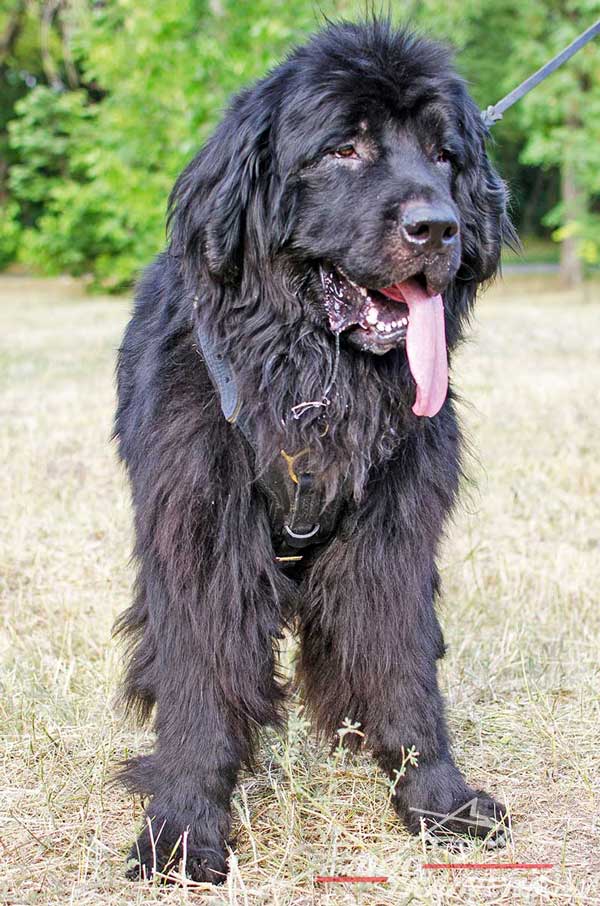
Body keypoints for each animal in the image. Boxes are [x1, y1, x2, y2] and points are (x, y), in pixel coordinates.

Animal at [116, 17, 516, 880]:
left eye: (445, 154)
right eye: (344, 149)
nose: (439, 226)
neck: (310, 382)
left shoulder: (391, 536)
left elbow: (403, 670)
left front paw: (437, 800)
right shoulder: (202, 531)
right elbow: (199, 682)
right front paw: (182, 829)